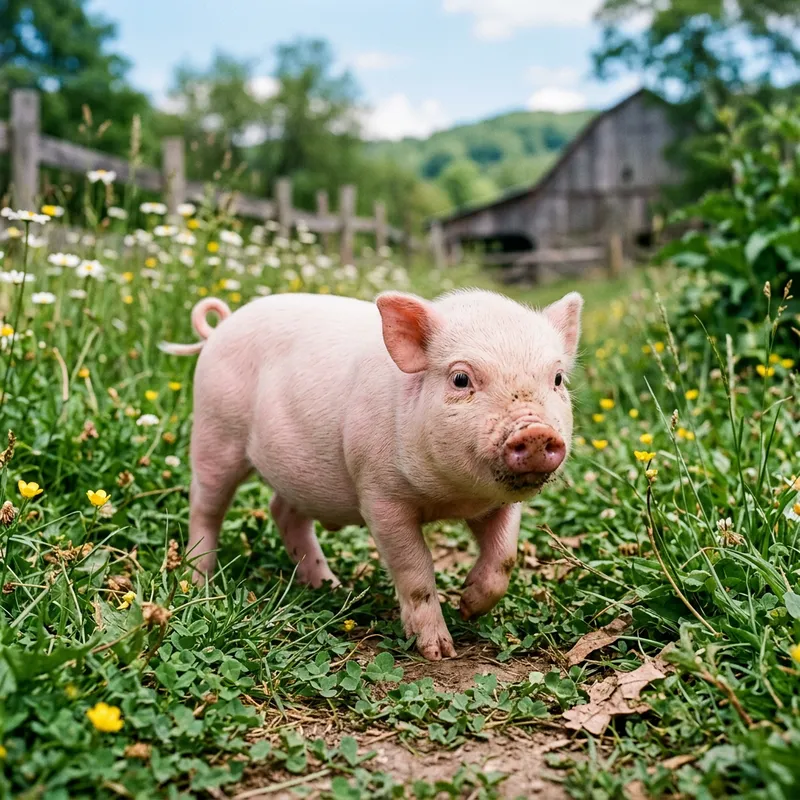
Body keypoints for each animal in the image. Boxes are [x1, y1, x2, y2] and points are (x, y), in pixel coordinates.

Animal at [160, 289, 582, 660]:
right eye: (461, 379)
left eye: (558, 379)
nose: (536, 431)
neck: (451, 498)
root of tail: (221, 326)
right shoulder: (380, 495)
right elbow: (415, 568)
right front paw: (439, 652)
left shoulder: (498, 503)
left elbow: (504, 557)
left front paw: (469, 605)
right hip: (216, 431)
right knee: (205, 505)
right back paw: (201, 581)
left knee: (284, 512)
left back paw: (330, 586)